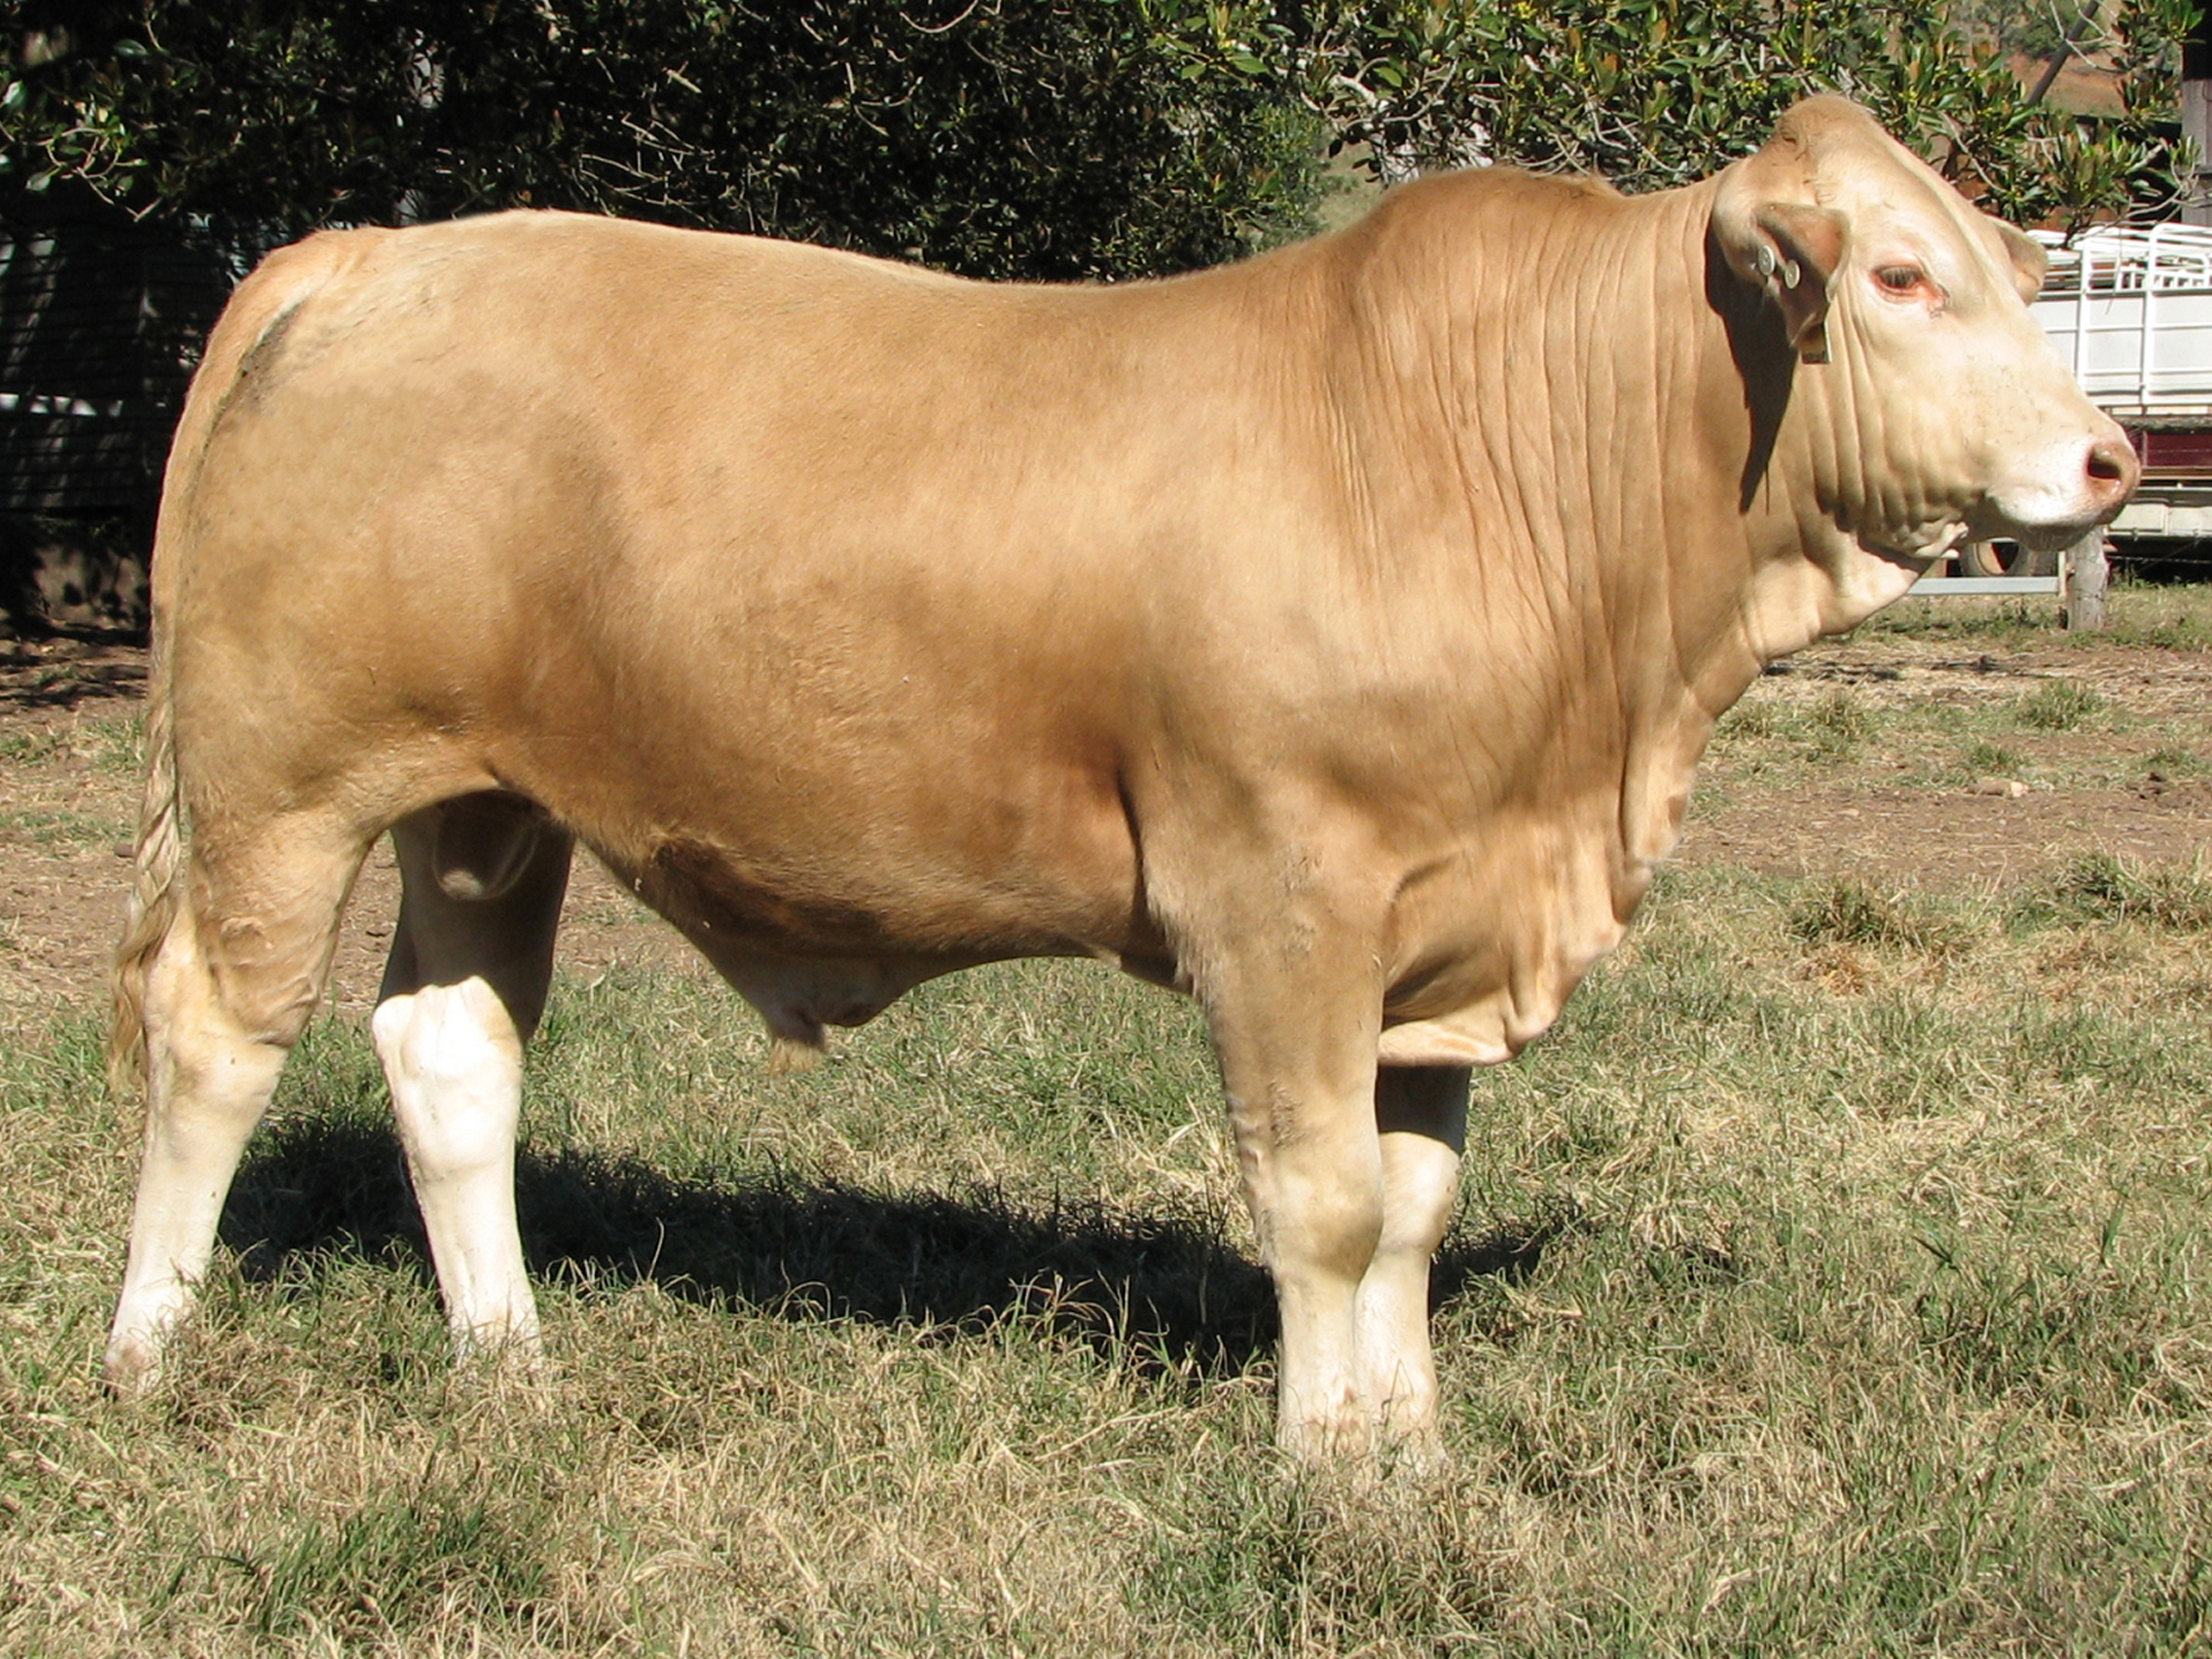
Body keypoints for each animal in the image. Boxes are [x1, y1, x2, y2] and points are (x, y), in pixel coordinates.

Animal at [104, 95, 2134, 1469]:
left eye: (2009, 269)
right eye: (1896, 274)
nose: (2110, 458)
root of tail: (370, 250)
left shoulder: (1442, 923)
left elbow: (1410, 1201)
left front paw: (1412, 1454)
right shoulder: (1282, 896)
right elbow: (1320, 1199)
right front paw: (1323, 1466)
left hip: (485, 801)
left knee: (449, 1046)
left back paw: (510, 1361)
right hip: (282, 777)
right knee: (218, 1037)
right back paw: (145, 1352)